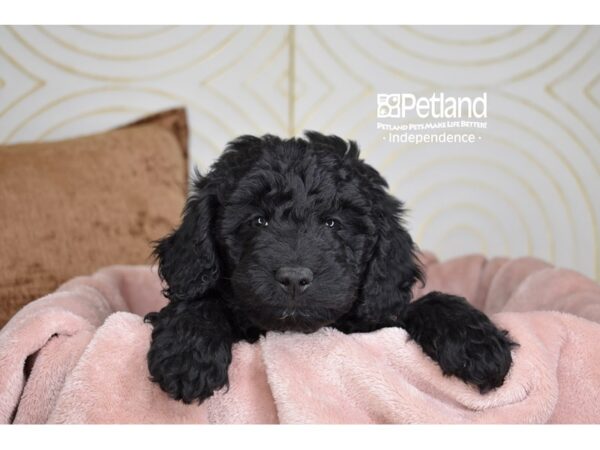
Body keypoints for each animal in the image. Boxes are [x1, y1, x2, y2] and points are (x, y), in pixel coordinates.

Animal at [145, 133, 516, 404]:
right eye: (258, 221)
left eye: (333, 223)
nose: (294, 278)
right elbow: (198, 301)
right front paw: (188, 355)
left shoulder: (378, 317)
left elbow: (429, 302)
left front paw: (477, 345)